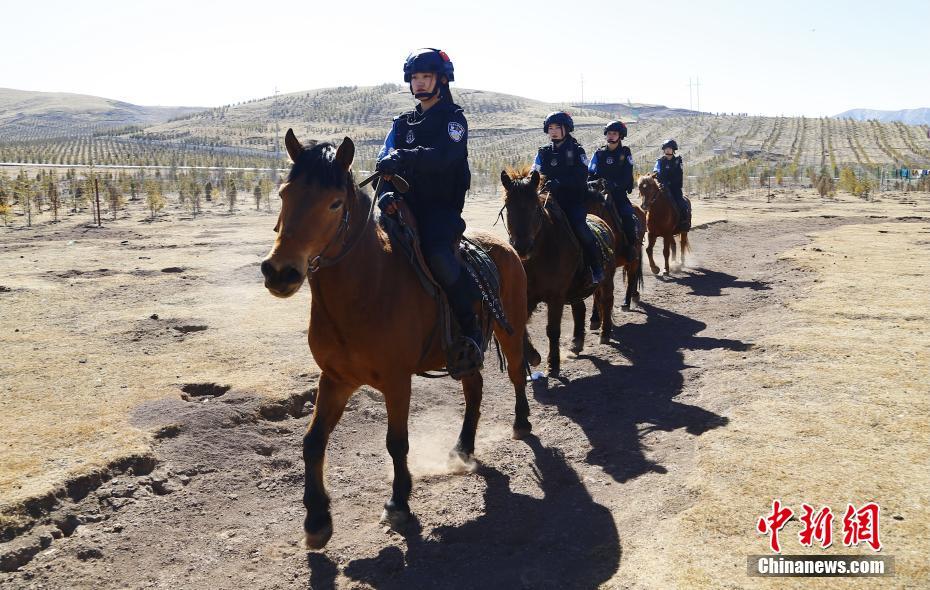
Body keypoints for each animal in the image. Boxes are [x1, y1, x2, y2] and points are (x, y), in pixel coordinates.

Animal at [260, 130, 531, 550]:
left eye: (335, 203)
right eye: (284, 193)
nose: (280, 273)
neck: (367, 287)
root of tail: (504, 248)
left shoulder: (396, 381)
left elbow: (396, 442)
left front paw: (399, 502)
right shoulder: (336, 379)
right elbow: (313, 441)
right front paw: (317, 519)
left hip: (511, 330)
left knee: (518, 373)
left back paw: (520, 423)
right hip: (465, 355)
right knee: (474, 389)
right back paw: (462, 448)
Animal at [499, 167, 616, 377]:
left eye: (536, 207)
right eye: (508, 206)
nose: (522, 246)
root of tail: (603, 224)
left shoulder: (555, 297)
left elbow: (552, 330)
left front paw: (552, 364)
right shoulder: (527, 296)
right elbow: (521, 325)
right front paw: (533, 356)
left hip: (606, 280)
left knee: (606, 301)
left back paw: (604, 333)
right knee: (580, 309)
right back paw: (577, 342)